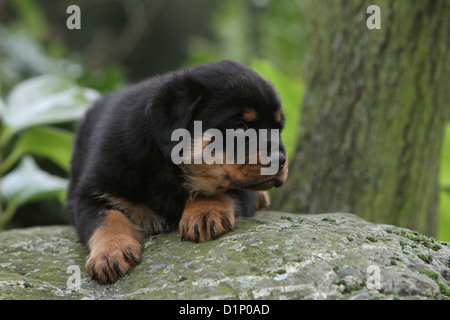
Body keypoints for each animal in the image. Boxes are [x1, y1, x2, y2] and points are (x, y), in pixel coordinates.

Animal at [68, 60, 290, 282]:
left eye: (278, 128)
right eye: (241, 127)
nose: (280, 160)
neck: (166, 168)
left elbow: (220, 188)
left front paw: (204, 211)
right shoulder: (91, 193)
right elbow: (106, 219)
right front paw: (110, 253)